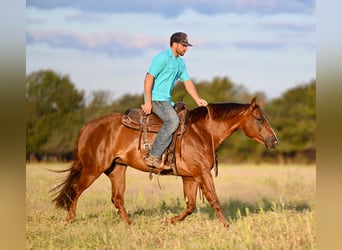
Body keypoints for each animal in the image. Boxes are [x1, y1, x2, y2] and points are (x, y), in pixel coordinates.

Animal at [52, 96, 280, 228]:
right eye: (259, 119)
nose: (275, 141)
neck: (202, 132)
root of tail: (88, 126)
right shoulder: (203, 173)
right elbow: (214, 200)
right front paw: (226, 226)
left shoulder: (190, 177)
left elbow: (190, 205)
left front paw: (168, 221)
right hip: (93, 169)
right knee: (75, 190)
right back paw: (69, 220)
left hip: (117, 169)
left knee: (117, 198)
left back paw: (129, 225)